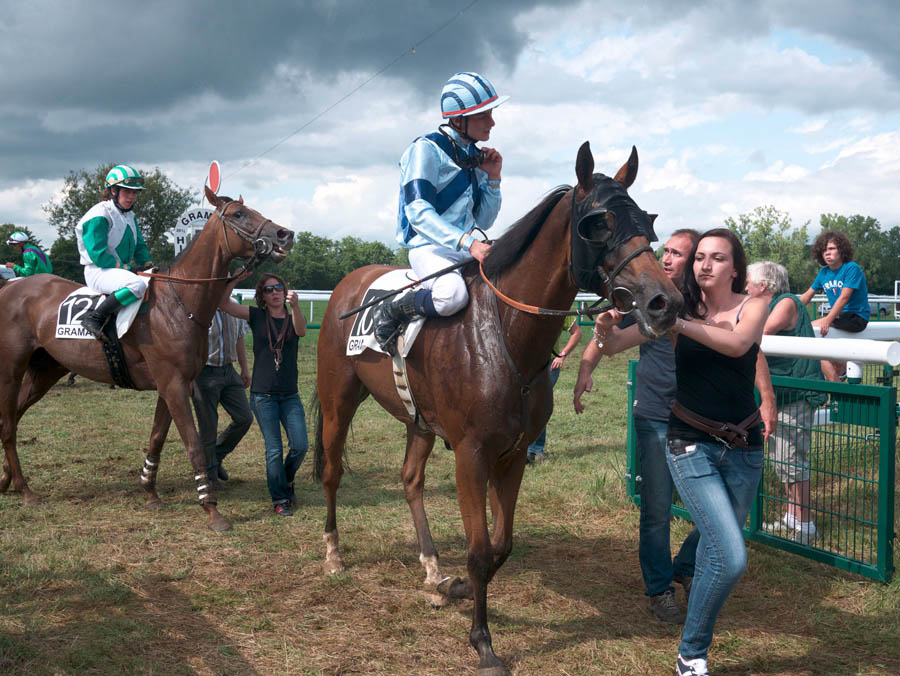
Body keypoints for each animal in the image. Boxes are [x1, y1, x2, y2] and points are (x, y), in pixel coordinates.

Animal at [0, 187, 292, 532]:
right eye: (238, 214)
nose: (284, 234)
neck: (179, 303)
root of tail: (9, 289)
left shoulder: (172, 385)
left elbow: (156, 438)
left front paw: (151, 493)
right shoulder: (175, 385)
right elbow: (193, 445)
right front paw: (211, 509)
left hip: (44, 372)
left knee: (11, 419)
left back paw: (6, 479)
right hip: (11, 369)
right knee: (8, 424)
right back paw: (24, 489)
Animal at [312, 144, 684, 676]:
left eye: (646, 221)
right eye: (600, 223)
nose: (665, 302)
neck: (505, 336)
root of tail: (350, 283)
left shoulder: (512, 454)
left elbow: (500, 547)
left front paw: (457, 587)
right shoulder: (472, 454)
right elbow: (478, 550)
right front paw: (482, 642)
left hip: (419, 421)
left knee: (410, 479)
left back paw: (432, 569)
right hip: (337, 399)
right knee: (332, 472)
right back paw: (334, 554)